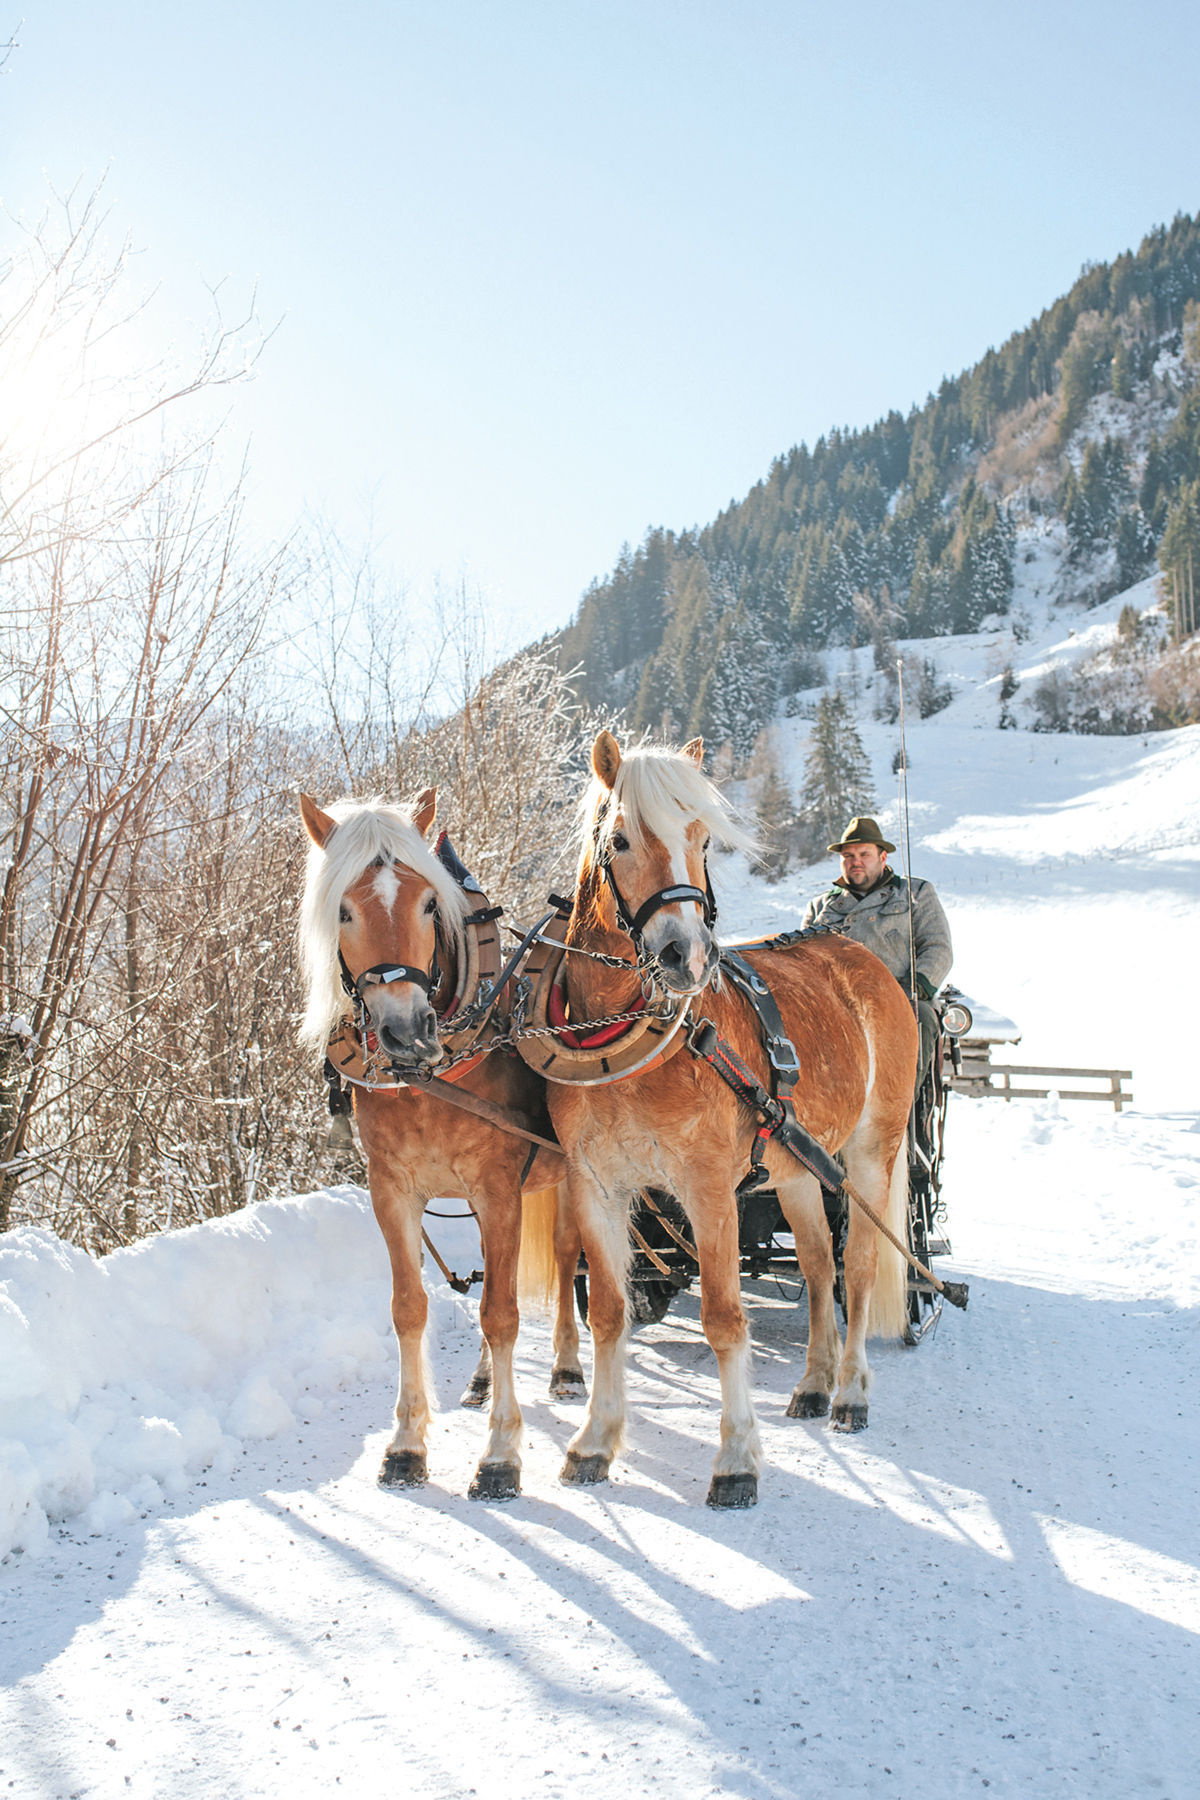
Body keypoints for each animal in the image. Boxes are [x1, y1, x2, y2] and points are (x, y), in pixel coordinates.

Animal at [298, 788, 572, 1490]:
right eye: (342, 910)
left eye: (428, 902)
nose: (405, 1032)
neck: (431, 1078)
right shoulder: (392, 1187)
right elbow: (409, 1307)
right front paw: (406, 1443)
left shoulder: (500, 1186)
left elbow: (501, 1311)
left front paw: (501, 1454)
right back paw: (481, 1381)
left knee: (569, 1260)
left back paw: (567, 1369)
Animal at [528, 727, 921, 1504]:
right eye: (620, 838)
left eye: (702, 839)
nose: (685, 955)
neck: (624, 1043)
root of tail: (867, 964)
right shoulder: (596, 1185)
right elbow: (610, 1312)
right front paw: (594, 1441)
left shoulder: (708, 1190)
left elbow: (723, 1317)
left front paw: (737, 1456)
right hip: (797, 1167)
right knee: (818, 1265)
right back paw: (813, 1383)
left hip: (871, 1154)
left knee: (858, 1267)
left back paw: (850, 1392)